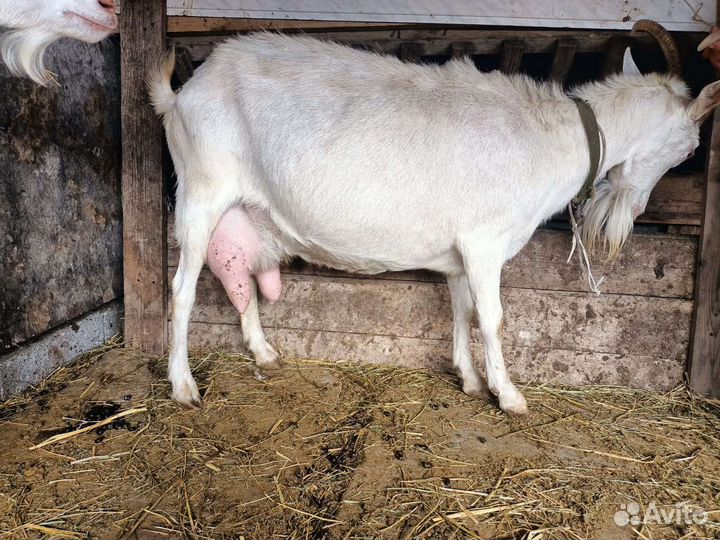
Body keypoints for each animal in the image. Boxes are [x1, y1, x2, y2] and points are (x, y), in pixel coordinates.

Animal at [150, 33, 720, 413]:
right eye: (691, 148)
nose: (639, 209)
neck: (553, 140)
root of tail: (180, 95)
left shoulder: (459, 252)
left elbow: (462, 310)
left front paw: (469, 379)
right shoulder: (485, 241)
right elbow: (493, 318)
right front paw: (509, 396)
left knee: (240, 281)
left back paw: (265, 354)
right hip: (201, 192)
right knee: (181, 289)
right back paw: (183, 386)